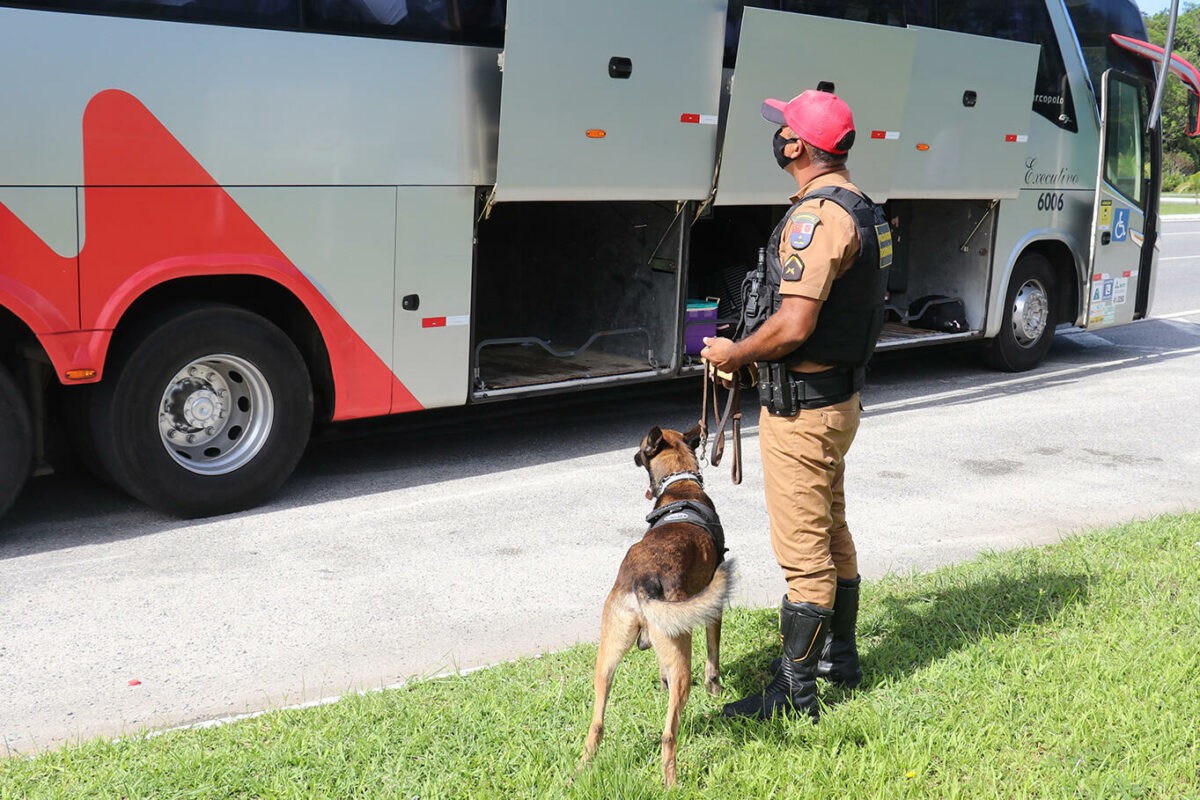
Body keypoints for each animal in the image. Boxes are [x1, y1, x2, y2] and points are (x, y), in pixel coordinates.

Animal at [578, 424, 734, 786]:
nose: (633, 455)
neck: (680, 485)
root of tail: (640, 582)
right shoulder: (713, 612)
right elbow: (713, 657)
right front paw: (715, 688)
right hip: (681, 660)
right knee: (668, 733)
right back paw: (672, 782)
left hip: (606, 659)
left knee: (596, 725)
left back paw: (579, 772)